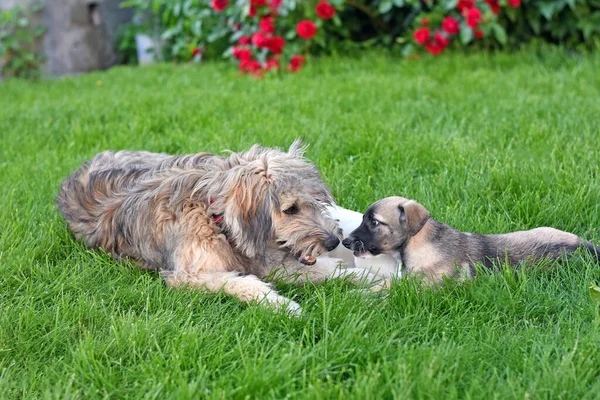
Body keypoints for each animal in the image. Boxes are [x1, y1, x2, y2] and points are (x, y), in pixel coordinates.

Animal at [57, 141, 370, 316]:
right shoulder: (188, 274)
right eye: (291, 209)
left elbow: (323, 271)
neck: (215, 217)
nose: (333, 242)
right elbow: (240, 281)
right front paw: (280, 304)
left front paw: (365, 278)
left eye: (316, 201)